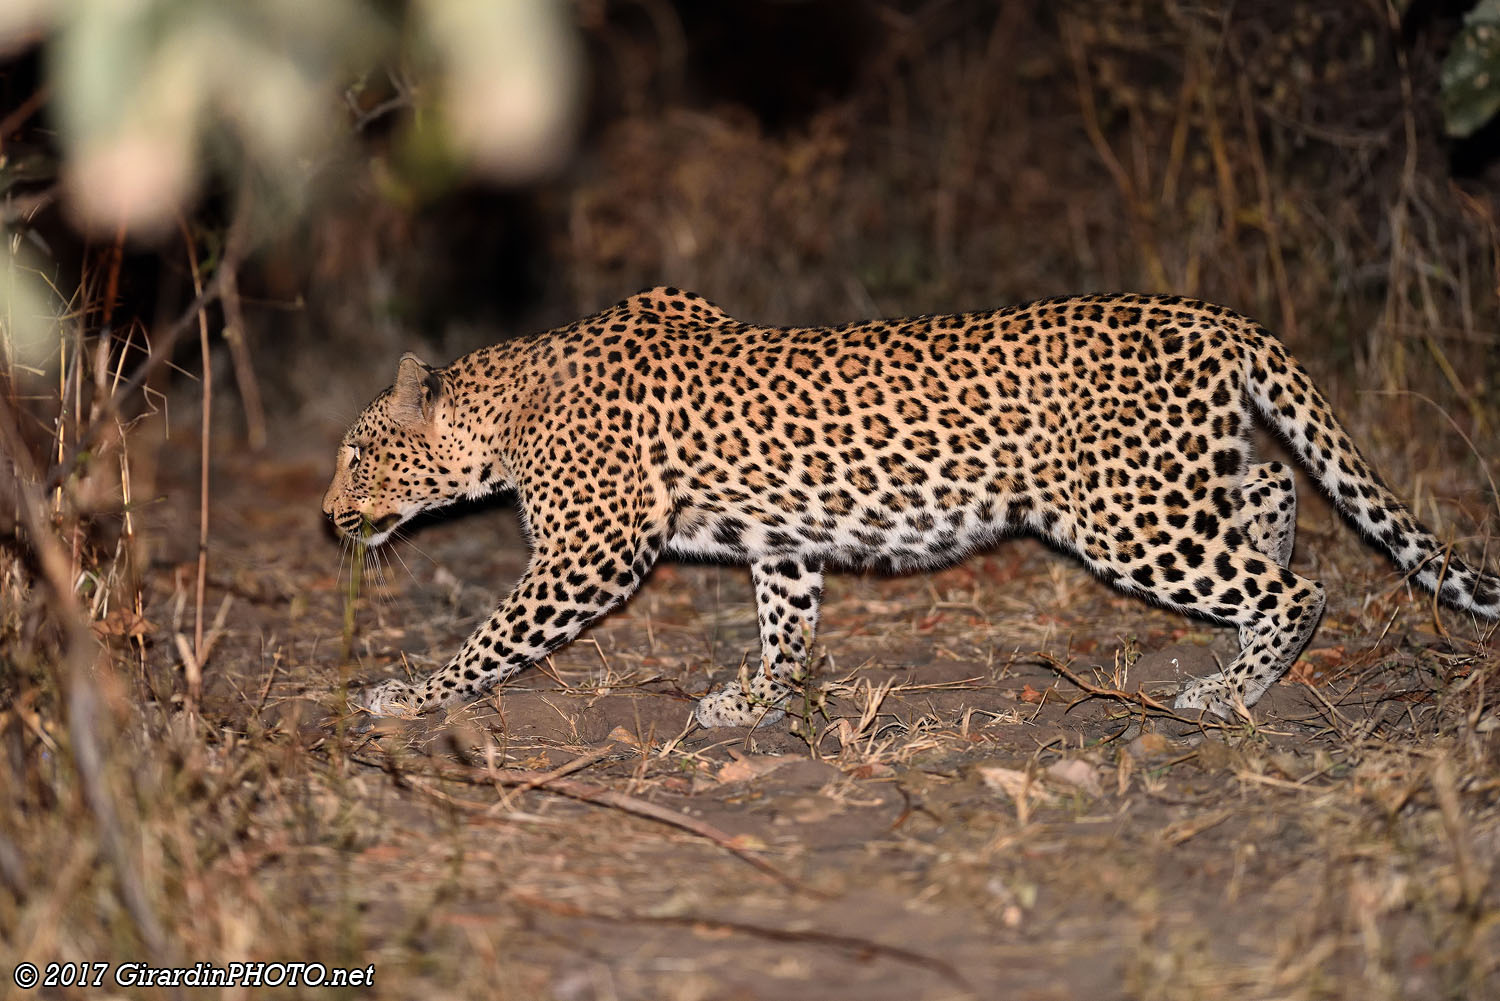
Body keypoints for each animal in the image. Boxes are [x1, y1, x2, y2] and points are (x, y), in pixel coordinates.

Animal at [322, 289, 1494, 729]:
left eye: (354, 452)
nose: (328, 517)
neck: (503, 414)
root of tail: (1208, 313)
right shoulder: (784, 539)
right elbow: (786, 621)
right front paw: (761, 701)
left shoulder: (589, 552)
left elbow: (493, 635)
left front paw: (413, 690)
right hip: (1168, 476)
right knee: (1270, 485)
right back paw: (1251, 614)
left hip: (1121, 509)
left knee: (1299, 586)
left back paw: (1234, 684)